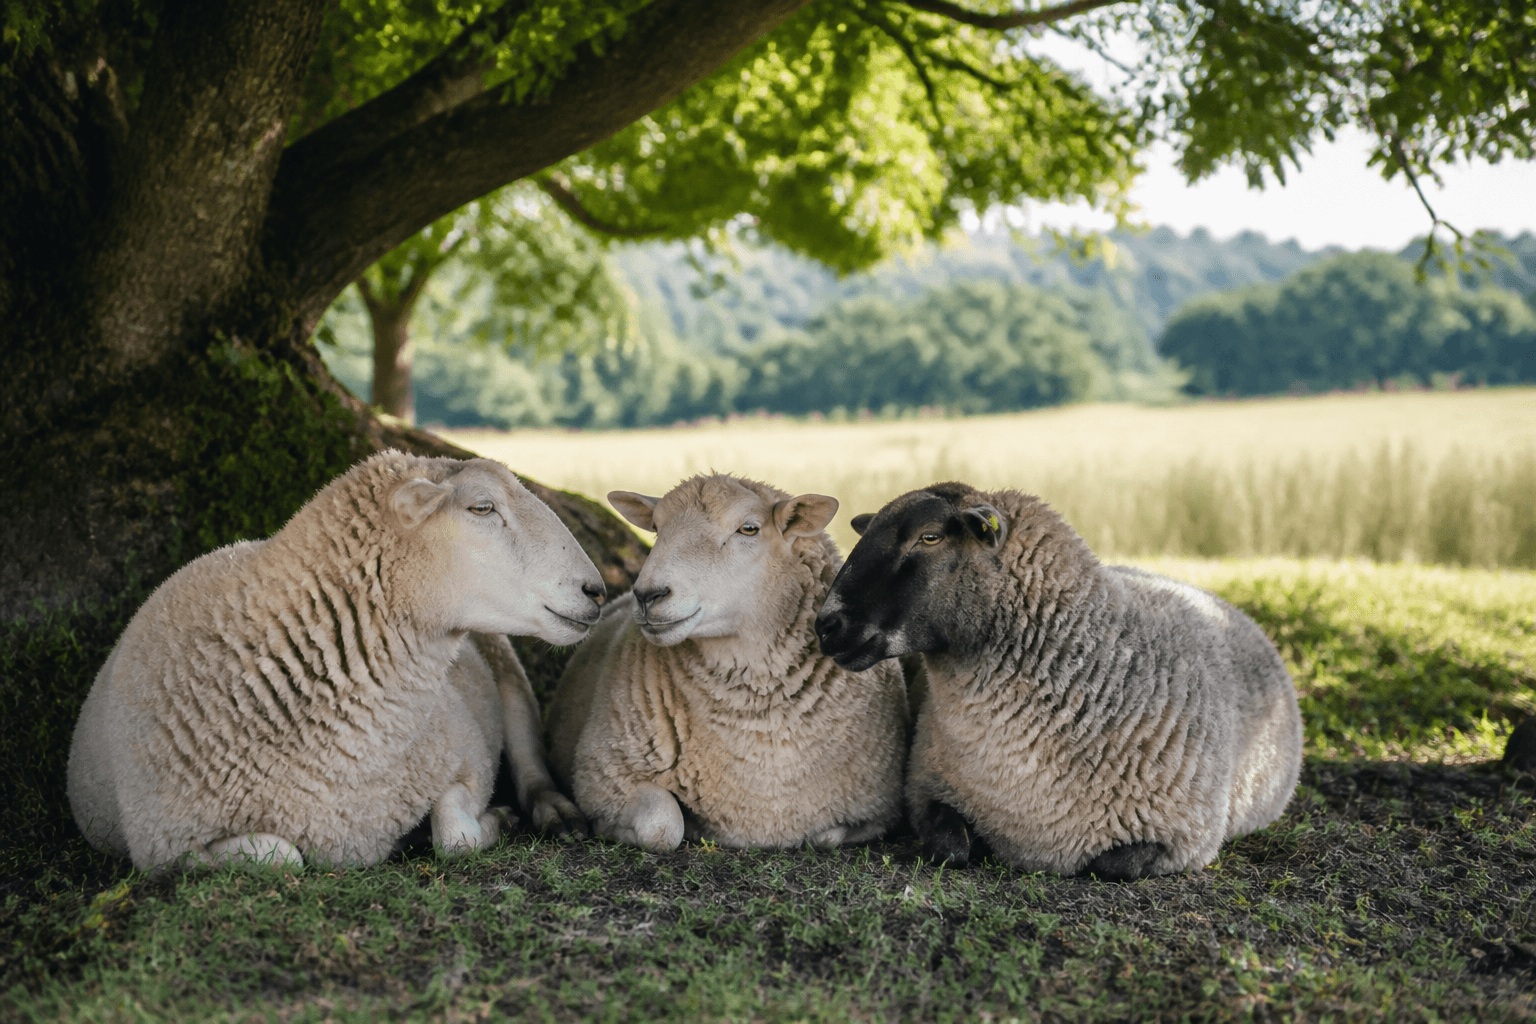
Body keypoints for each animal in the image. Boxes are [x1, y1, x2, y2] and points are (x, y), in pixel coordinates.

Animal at [67, 451, 604, 871]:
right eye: (482, 507)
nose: (595, 589)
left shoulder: (468, 751)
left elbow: (456, 836)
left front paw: (498, 819)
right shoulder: (165, 848)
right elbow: (280, 856)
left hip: (504, 665)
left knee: (530, 761)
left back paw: (554, 813)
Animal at [544, 473, 908, 852]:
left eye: (749, 529)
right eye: (656, 527)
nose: (647, 595)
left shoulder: (879, 809)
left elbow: (827, 836)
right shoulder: (604, 779)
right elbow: (661, 825)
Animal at [814, 482, 1303, 879]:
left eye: (929, 536)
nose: (826, 624)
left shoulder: (1183, 839)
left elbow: (1111, 866)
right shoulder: (928, 791)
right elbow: (951, 849)